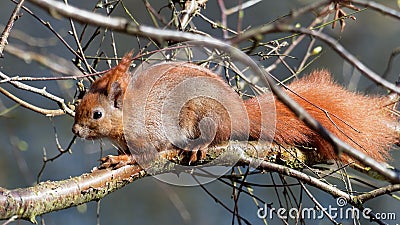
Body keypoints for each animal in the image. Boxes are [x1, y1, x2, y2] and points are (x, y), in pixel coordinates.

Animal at [71, 52, 396, 169]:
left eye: (97, 114)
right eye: (79, 105)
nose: (74, 130)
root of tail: (239, 113)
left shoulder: (151, 129)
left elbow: (146, 154)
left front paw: (118, 159)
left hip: (203, 114)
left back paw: (198, 146)